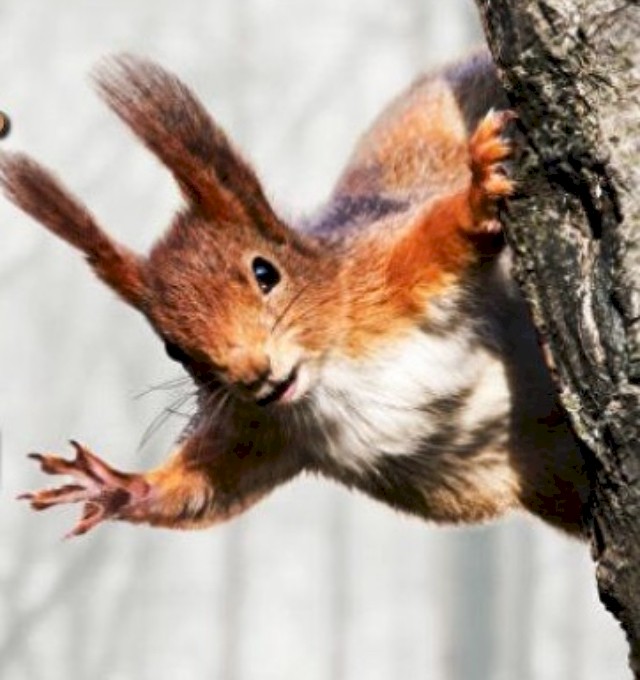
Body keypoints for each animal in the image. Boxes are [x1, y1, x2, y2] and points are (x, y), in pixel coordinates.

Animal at [0, 51, 589, 539]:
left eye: (266, 272)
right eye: (172, 348)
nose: (254, 374)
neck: (330, 375)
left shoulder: (387, 272)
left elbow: (441, 234)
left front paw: (477, 189)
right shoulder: (260, 428)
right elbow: (205, 489)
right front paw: (115, 487)